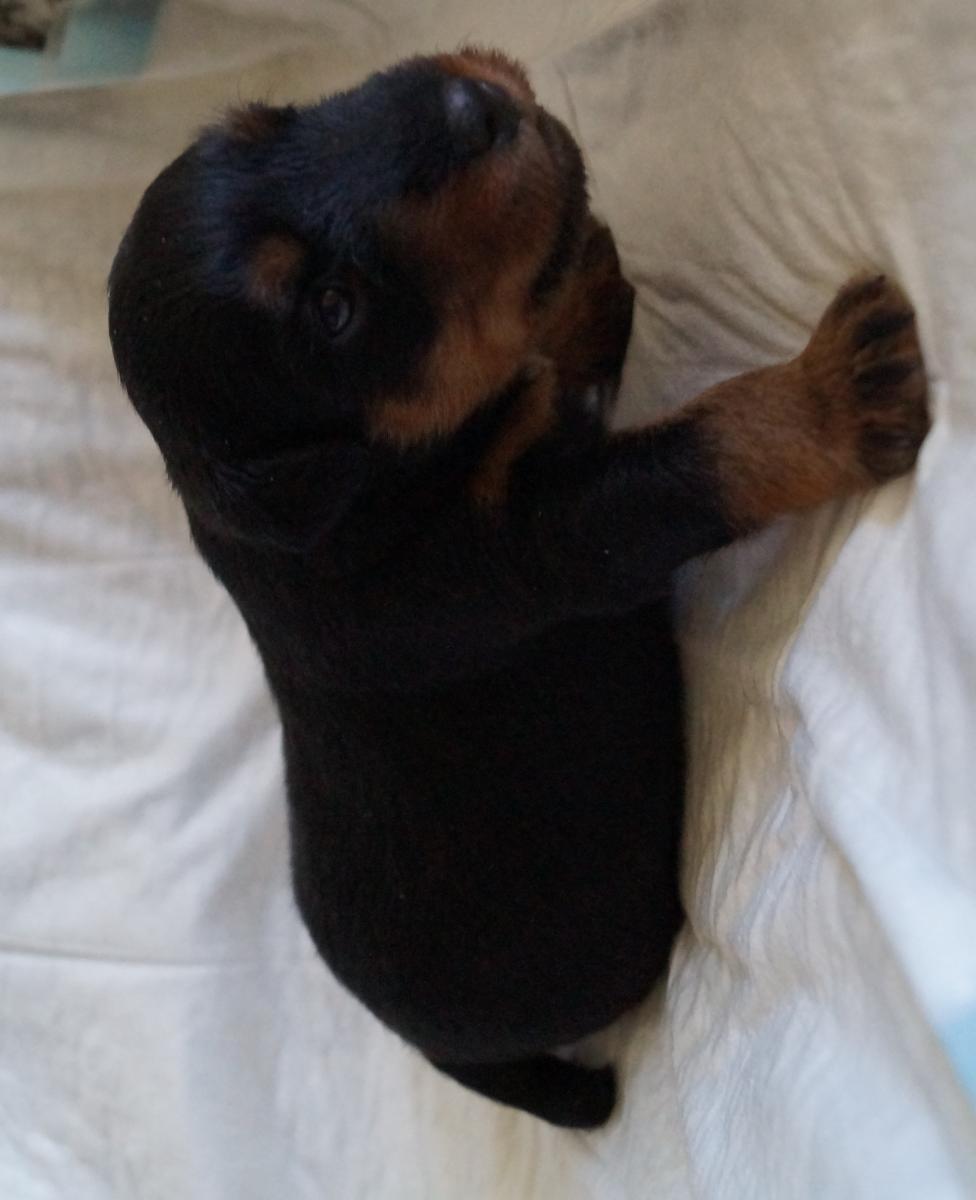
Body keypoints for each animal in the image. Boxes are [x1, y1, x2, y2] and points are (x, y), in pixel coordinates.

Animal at [108, 47, 930, 1128]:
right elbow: (698, 451)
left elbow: (551, 371)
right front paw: (834, 394)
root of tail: (432, 1049)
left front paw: (582, 286)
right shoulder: (543, 546)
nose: (471, 105)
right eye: (333, 307)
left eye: (272, 121)